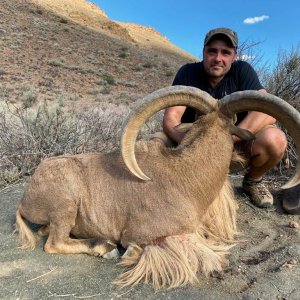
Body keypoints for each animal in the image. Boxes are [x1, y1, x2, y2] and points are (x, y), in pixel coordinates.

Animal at [15, 85, 300, 290]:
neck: (185, 176)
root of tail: (25, 198)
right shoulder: (146, 234)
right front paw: (128, 253)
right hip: (65, 203)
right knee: (54, 243)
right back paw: (104, 247)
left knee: (46, 232)